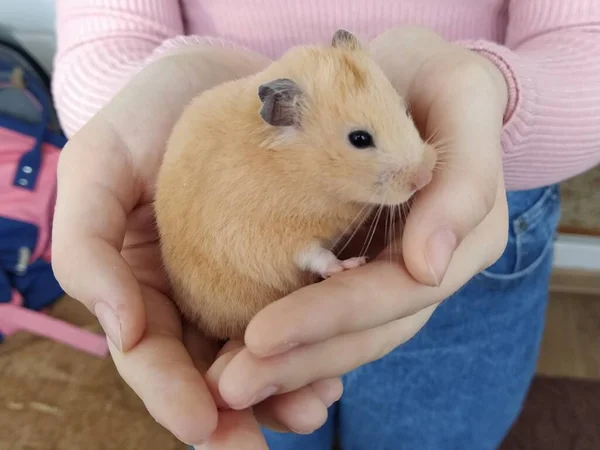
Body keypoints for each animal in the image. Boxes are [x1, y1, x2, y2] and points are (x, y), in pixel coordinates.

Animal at [155, 29, 436, 340]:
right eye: (360, 139)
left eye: (405, 110)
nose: (425, 177)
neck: (303, 174)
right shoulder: (269, 238)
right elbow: (316, 255)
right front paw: (351, 264)